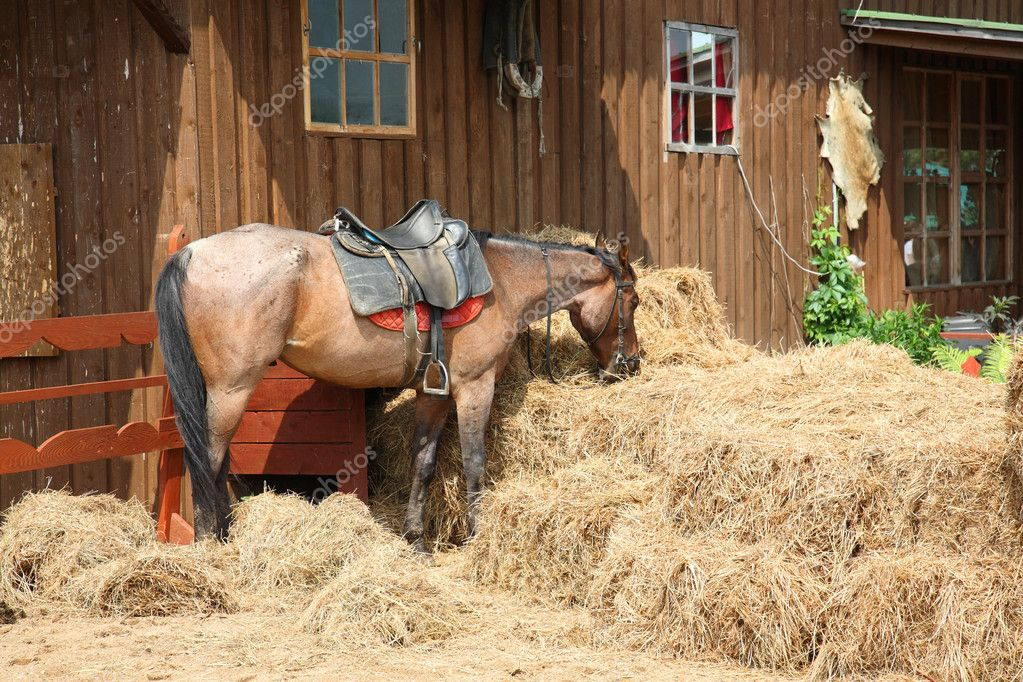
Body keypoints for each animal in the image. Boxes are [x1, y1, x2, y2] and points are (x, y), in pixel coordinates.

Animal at [153, 223, 638, 548]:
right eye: (633, 300)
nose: (630, 363)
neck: (500, 279)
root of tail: (191, 252)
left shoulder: (432, 393)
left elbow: (423, 463)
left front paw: (415, 538)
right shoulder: (474, 387)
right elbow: (474, 462)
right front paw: (476, 535)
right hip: (230, 390)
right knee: (208, 461)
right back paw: (212, 541)